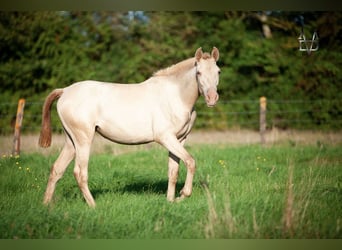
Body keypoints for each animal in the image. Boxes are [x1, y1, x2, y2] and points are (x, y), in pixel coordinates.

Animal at [39, 47, 222, 207]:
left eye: (218, 71)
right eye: (198, 73)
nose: (212, 98)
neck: (175, 96)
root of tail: (65, 91)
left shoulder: (179, 140)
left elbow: (173, 171)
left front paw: (171, 200)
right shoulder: (166, 138)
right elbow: (191, 162)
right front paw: (184, 194)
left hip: (71, 142)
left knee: (57, 169)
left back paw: (46, 205)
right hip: (83, 140)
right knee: (79, 172)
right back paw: (93, 206)